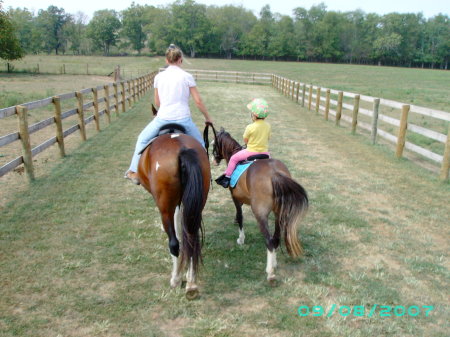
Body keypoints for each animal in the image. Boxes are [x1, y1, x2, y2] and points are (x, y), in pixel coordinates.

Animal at [138, 109, 210, 298]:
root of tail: (182, 149)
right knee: (192, 238)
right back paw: (191, 283)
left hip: (165, 207)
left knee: (174, 243)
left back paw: (176, 279)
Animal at [205, 124, 308, 282]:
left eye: (213, 143)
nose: (213, 160)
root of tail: (275, 173)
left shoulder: (236, 198)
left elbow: (240, 217)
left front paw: (241, 239)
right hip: (278, 213)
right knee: (275, 239)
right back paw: (274, 264)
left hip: (260, 213)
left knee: (269, 241)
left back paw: (270, 272)